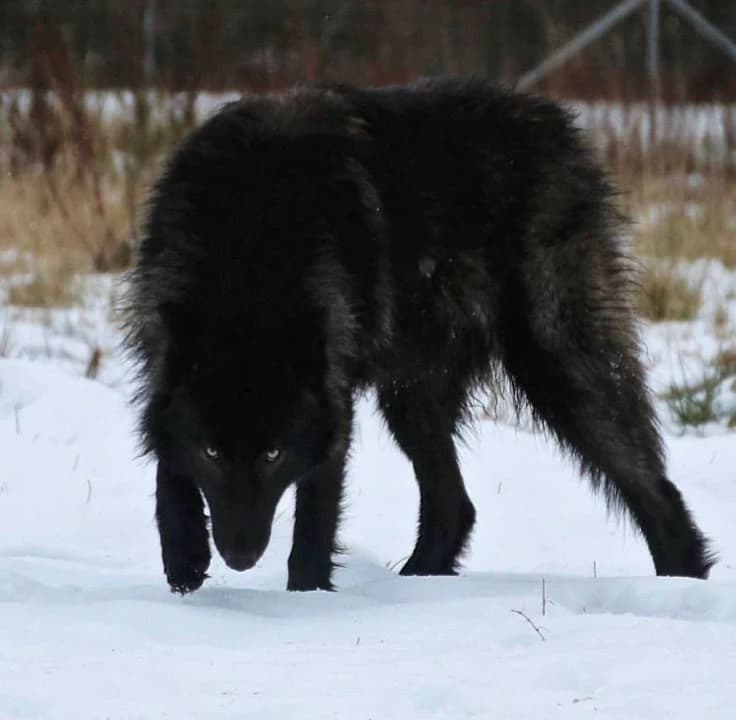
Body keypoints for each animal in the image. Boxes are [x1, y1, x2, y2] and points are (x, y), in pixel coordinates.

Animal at [123, 78, 714, 593]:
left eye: (273, 456)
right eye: (212, 453)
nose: (241, 557)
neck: (248, 250)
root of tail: (557, 122)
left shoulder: (333, 400)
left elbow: (314, 517)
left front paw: (305, 596)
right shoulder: (165, 357)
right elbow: (167, 465)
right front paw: (184, 557)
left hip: (559, 367)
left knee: (653, 487)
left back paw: (681, 586)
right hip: (412, 396)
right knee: (455, 505)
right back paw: (416, 587)